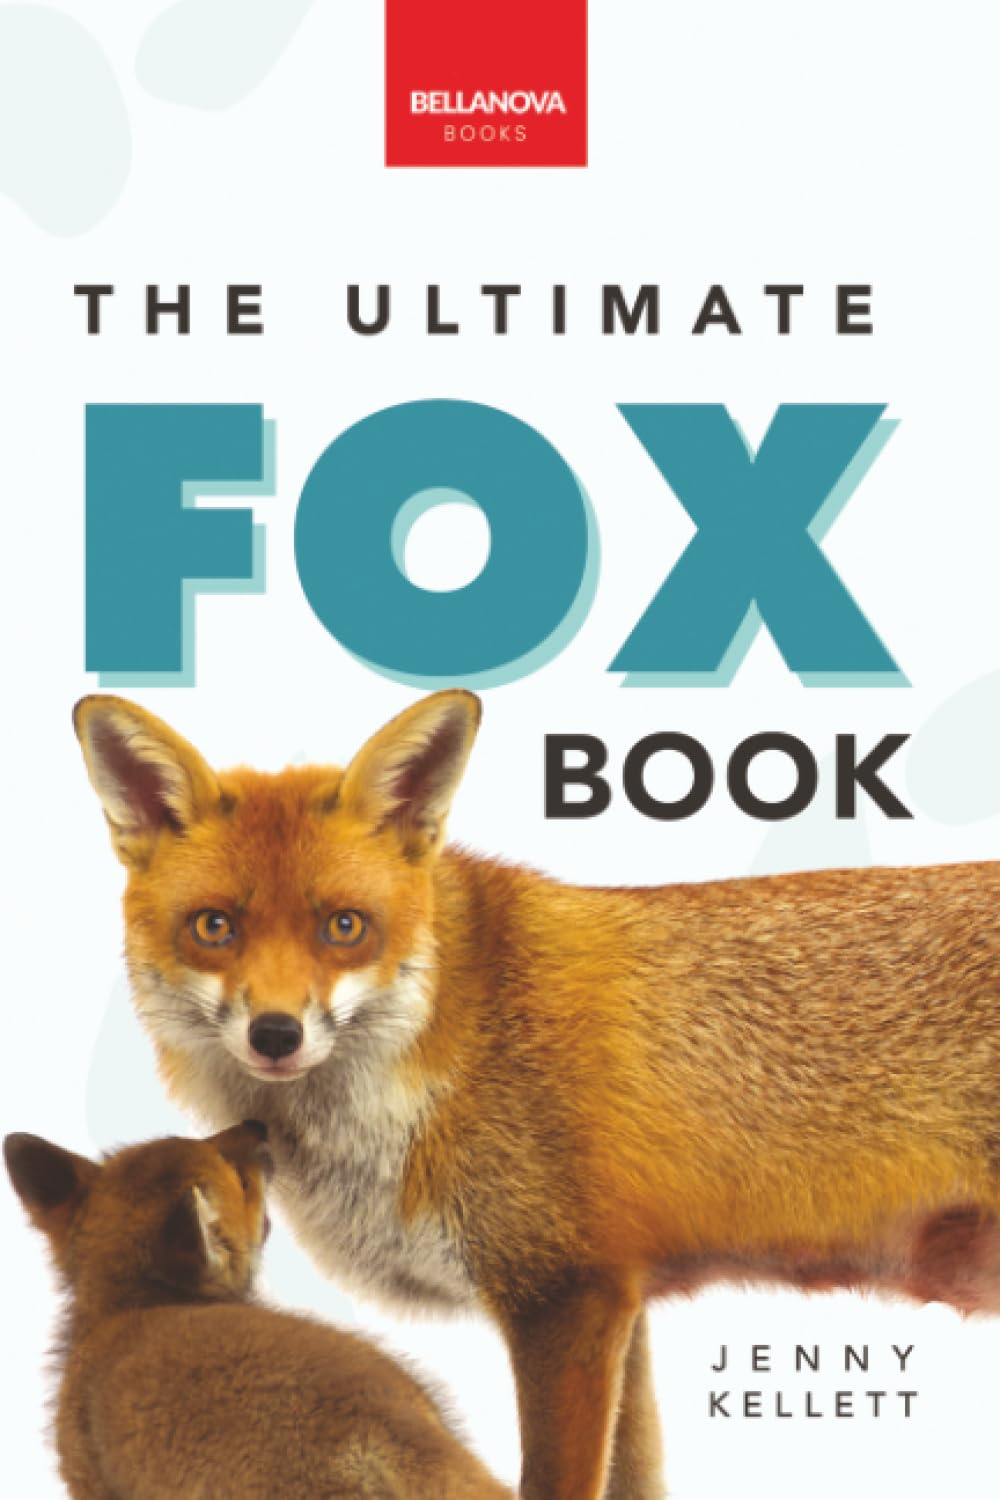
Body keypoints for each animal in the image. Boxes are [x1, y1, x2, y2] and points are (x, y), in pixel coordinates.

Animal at [72, 689, 1000, 1500]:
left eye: (344, 927)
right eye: (214, 927)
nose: (275, 1034)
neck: (448, 1048)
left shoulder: (565, 1296)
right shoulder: (621, 1299)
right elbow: (637, 1478)